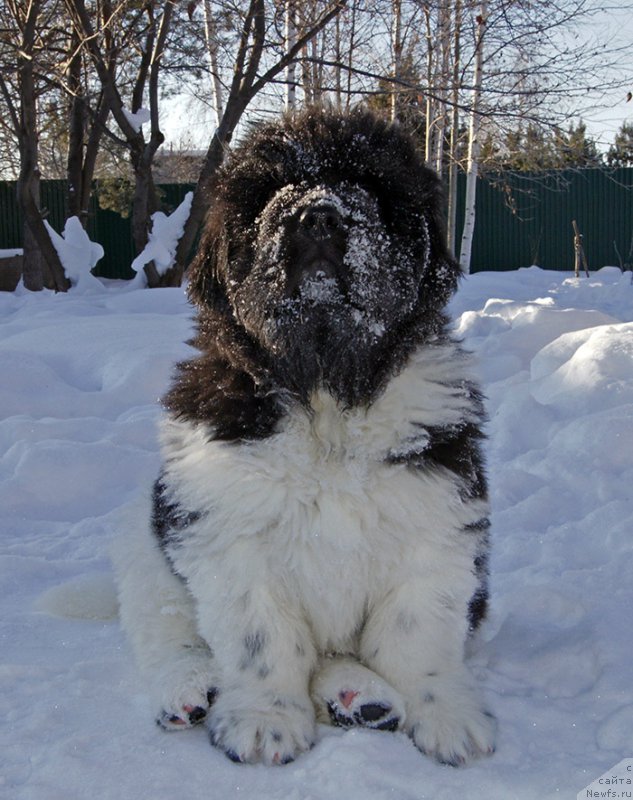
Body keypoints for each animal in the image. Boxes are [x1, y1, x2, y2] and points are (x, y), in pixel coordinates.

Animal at [116, 108, 496, 768]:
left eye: (368, 184)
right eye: (268, 191)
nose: (317, 214)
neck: (326, 392)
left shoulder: (437, 517)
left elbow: (418, 631)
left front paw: (445, 710)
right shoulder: (227, 532)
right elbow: (262, 638)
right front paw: (265, 719)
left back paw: (359, 695)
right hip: (144, 547)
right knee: (165, 630)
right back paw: (189, 689)